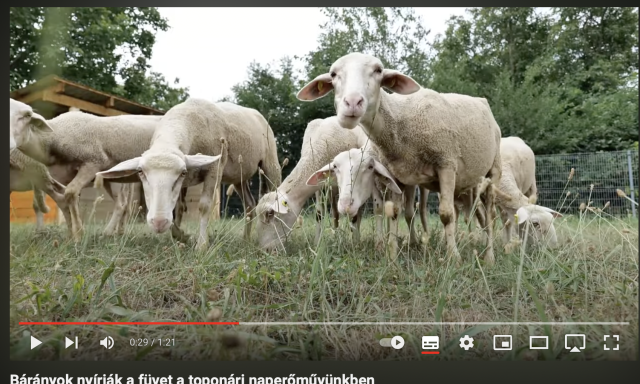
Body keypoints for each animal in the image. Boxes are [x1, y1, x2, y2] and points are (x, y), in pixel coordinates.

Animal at [95, 97, 282, 250]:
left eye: (182, 172)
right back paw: (245, 239)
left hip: (271, 164)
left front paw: (201, 244)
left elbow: (204, 206)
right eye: (140, 172)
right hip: (239, 176)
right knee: (250, 205)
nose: (158, 222)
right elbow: (177, 209)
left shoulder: (214, 168)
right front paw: (180, 236)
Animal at [252, 115, 368, 252]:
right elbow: (319, 214)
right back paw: (336, 237)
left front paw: (355, 244)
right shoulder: (319, 184)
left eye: (270, 214)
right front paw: (317, 245)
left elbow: (354, 215)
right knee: (335, 215)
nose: (267, 250)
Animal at [296, 52, 504, 266]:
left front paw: (453, 258)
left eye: (378, 70)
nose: (353, 102)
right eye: (333, 74)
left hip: (493, 170)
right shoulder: (396, 174)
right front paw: (392, 258)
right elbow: (394, 212)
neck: (400, 121)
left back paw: (489, 255)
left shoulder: (446, 162)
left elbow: (446, 214)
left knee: (490, 214)